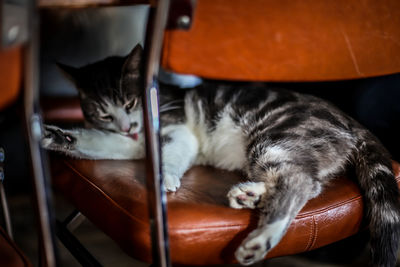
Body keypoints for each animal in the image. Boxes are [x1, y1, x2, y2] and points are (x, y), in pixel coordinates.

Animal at [42, 44, 400, 267]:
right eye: (103, 113)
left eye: (131, 102)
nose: (127, 126)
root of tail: (350, 120)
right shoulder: (129, 143)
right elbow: (101, 142)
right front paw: (50, 135)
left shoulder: (177, 128)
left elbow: (170, 154)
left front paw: (164, 177)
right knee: (308, 181)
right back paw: (249, 194)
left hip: (275, 135)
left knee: (297, 180)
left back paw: (260, 239)